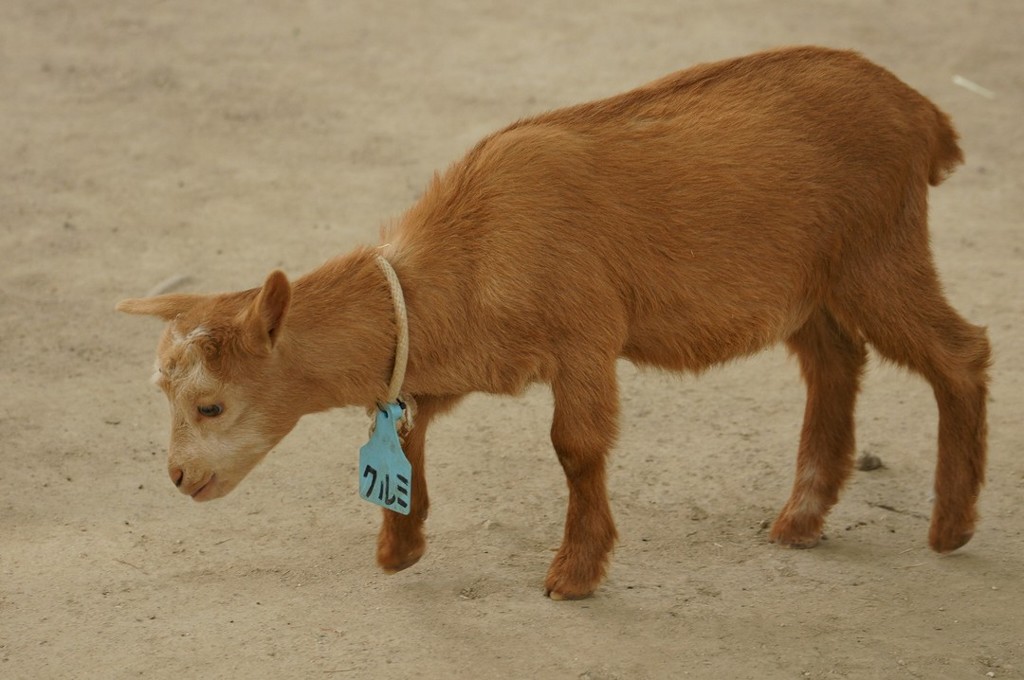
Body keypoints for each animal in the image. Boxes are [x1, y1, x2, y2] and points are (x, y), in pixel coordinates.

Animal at [117, 46, 991, 602]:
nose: (179, 478)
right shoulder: (447, 358)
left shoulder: (584, 339)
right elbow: (405, 432)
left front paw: (575, 573)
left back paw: (950, 526)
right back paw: (802, 516)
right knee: (835, 362)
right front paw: (400, 549)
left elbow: (575, 448)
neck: (468, 251)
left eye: (210, 406)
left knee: (961, 352)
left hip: (878, 250)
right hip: (806, 284)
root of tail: (925, 116)